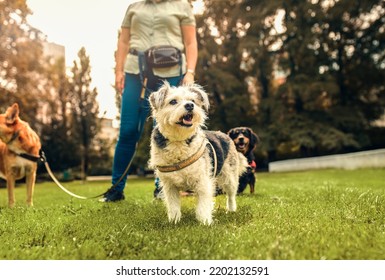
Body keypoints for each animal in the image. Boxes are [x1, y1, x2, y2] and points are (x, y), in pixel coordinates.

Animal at [147, 82, 246, 225]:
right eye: (173, 101)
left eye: (192, 100)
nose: (190, 105)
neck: (179, 141)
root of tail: (224, 134)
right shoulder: (169, 186)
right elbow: (173, 205)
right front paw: (174, 221)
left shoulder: (203, 181)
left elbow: (203, 205)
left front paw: (205, 222)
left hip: (230, 177)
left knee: (231, 195)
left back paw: (231, 210)